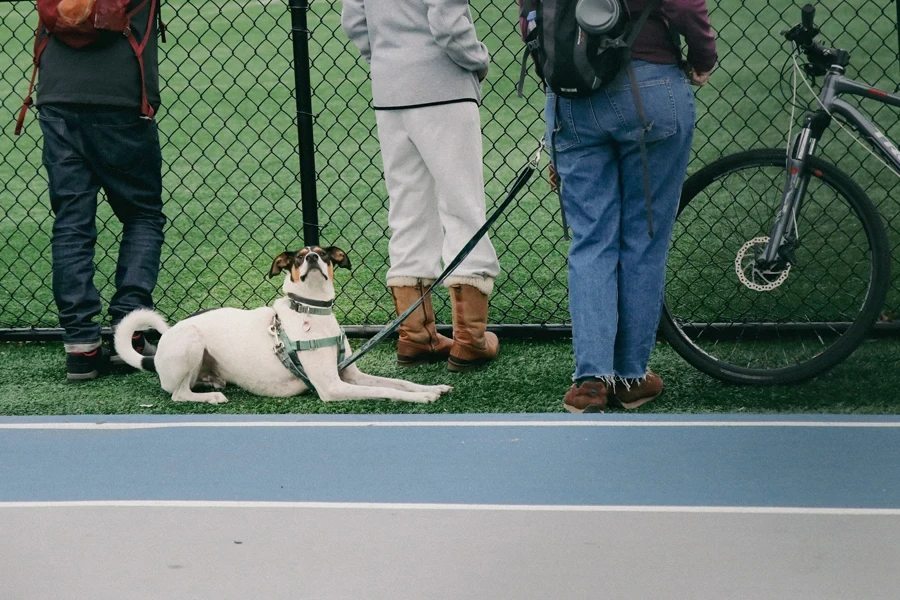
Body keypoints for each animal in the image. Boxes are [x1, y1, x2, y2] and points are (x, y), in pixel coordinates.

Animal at [116, 246, 454, 406]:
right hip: (192, 339)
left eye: (325, 253)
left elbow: (397, 382)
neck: (313, 311)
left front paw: (430, 388)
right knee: (178, 394)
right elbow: (385, 391)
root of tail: (155, 356)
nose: (314, 257)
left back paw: (212, 383)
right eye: (299, 258)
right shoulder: (332, 387)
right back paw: (209, 396)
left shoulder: (350, 375)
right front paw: (422, 398)